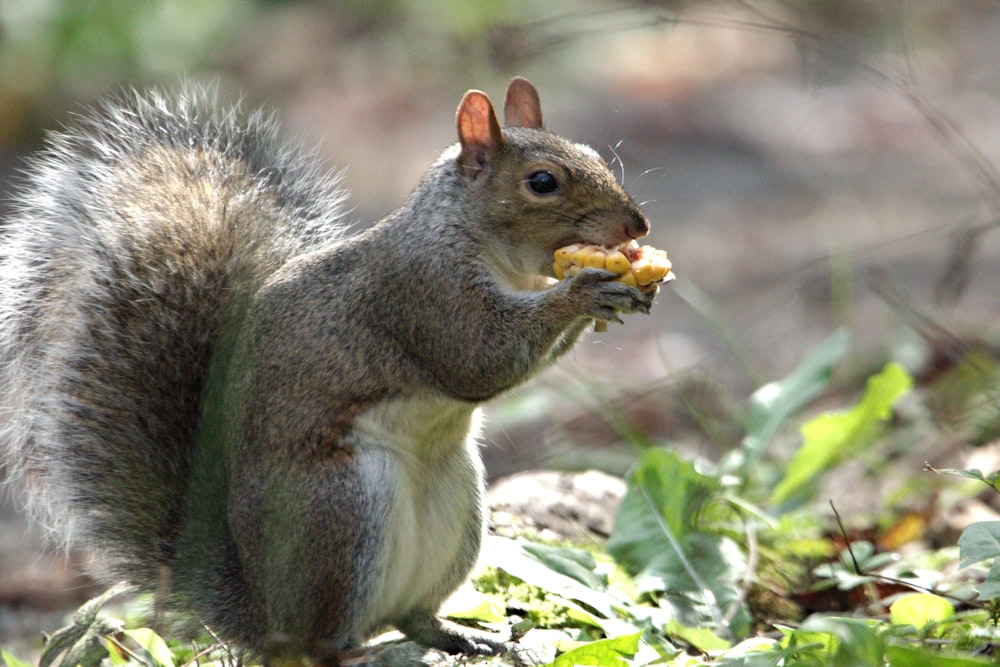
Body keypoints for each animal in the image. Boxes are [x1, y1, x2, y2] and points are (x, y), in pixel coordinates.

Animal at [0, 77, 660, 664]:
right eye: (542, 182)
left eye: (594, 154)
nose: (637, 227)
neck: (489, 249)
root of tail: (265, 617)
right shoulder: (423, 292)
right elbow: (480, 358)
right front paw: (585, 292)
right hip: (339, 514)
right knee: (320, 643)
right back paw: (347, 651)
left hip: (457, 508)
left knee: (409, 616)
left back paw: (461, 636)